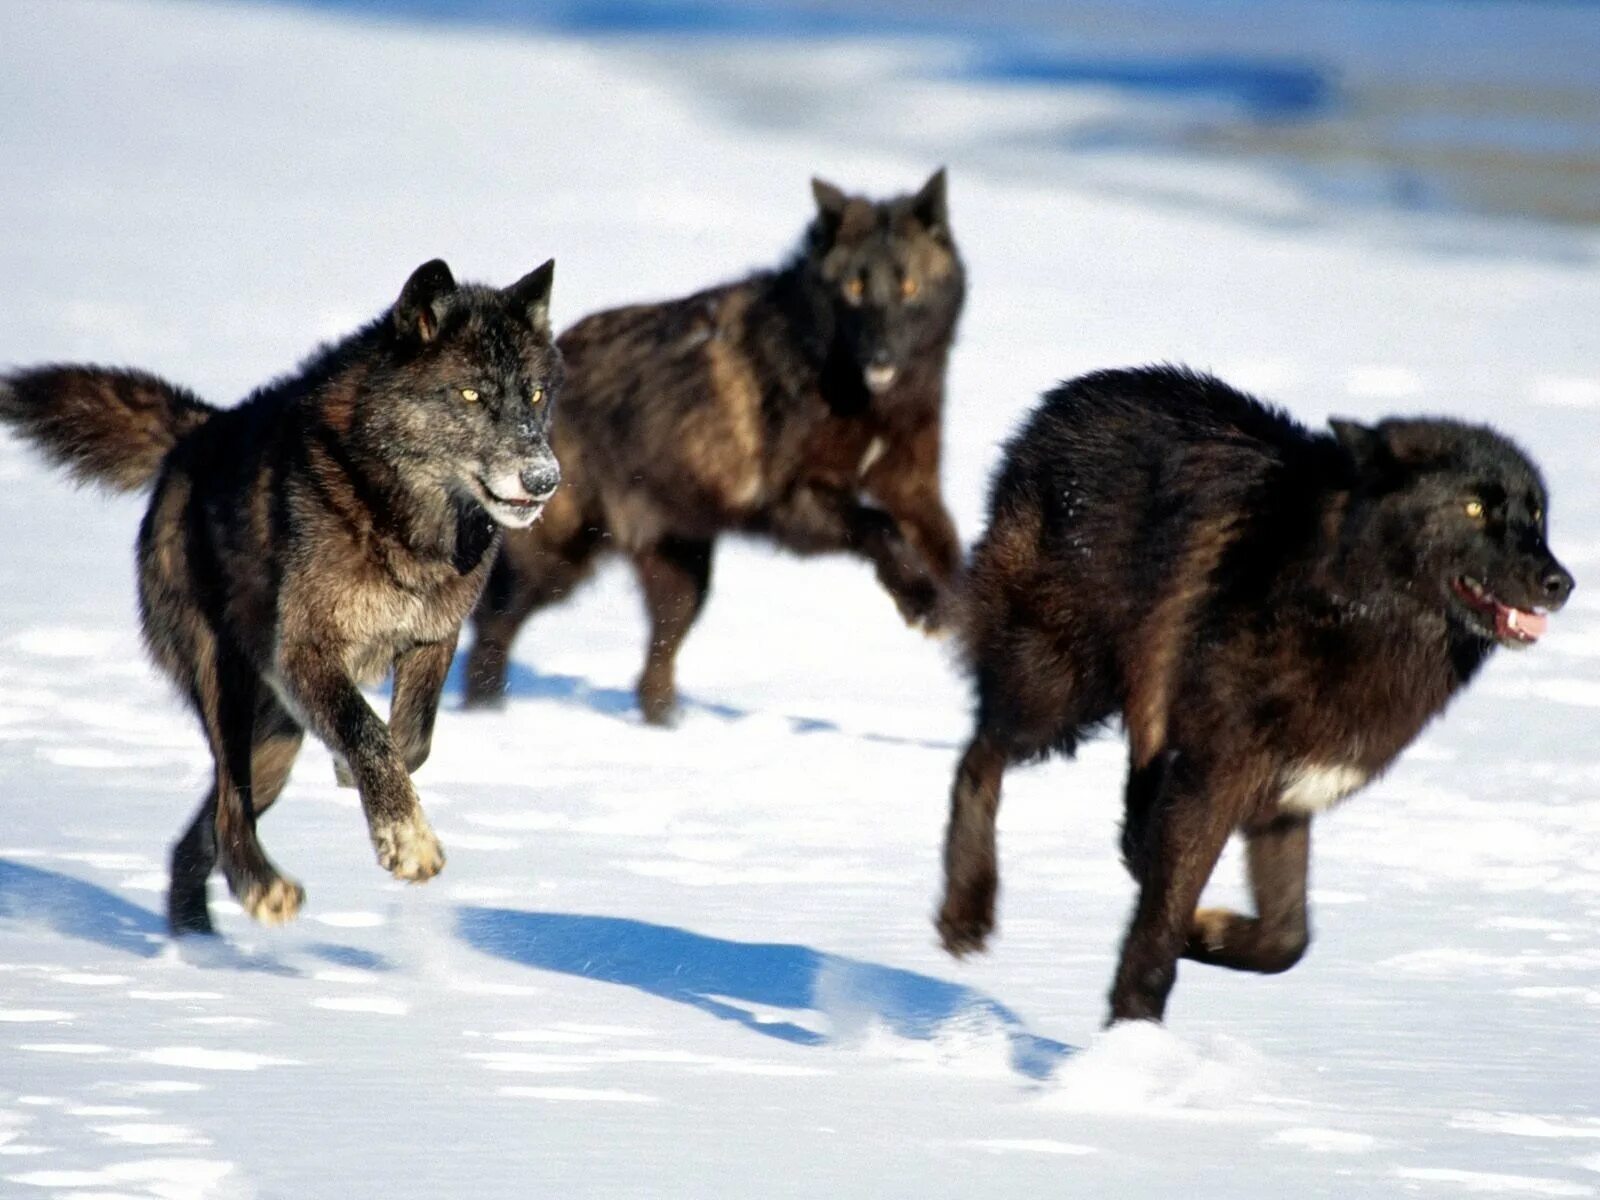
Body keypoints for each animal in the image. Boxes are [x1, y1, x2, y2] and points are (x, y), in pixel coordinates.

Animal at [0, 260, 566, 940]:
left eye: (534, 395)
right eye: (472, 396)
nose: (544, 478)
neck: (399, 517)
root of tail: (197, 433)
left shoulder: (433, 637)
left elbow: (410, 740)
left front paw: (366, 787)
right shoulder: (303, 653)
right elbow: (370, 734)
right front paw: (406, 840)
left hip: (277, 741)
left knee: (199, 833)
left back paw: (197, 941)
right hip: (227, 686)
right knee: (228, 807)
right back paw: (261, 889)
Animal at [460, 169, 960, 723]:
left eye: (909, 287)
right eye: (855, 287)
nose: (881, 357)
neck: (857, 394)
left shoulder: (914, 488)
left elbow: (948, 549)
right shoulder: (793, 505)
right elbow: (878, 525)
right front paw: (922, 603)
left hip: (684, 576)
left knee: (654, 665)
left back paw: (665, 728)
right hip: (556, 561)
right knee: (492, 625)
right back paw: (484, 713)